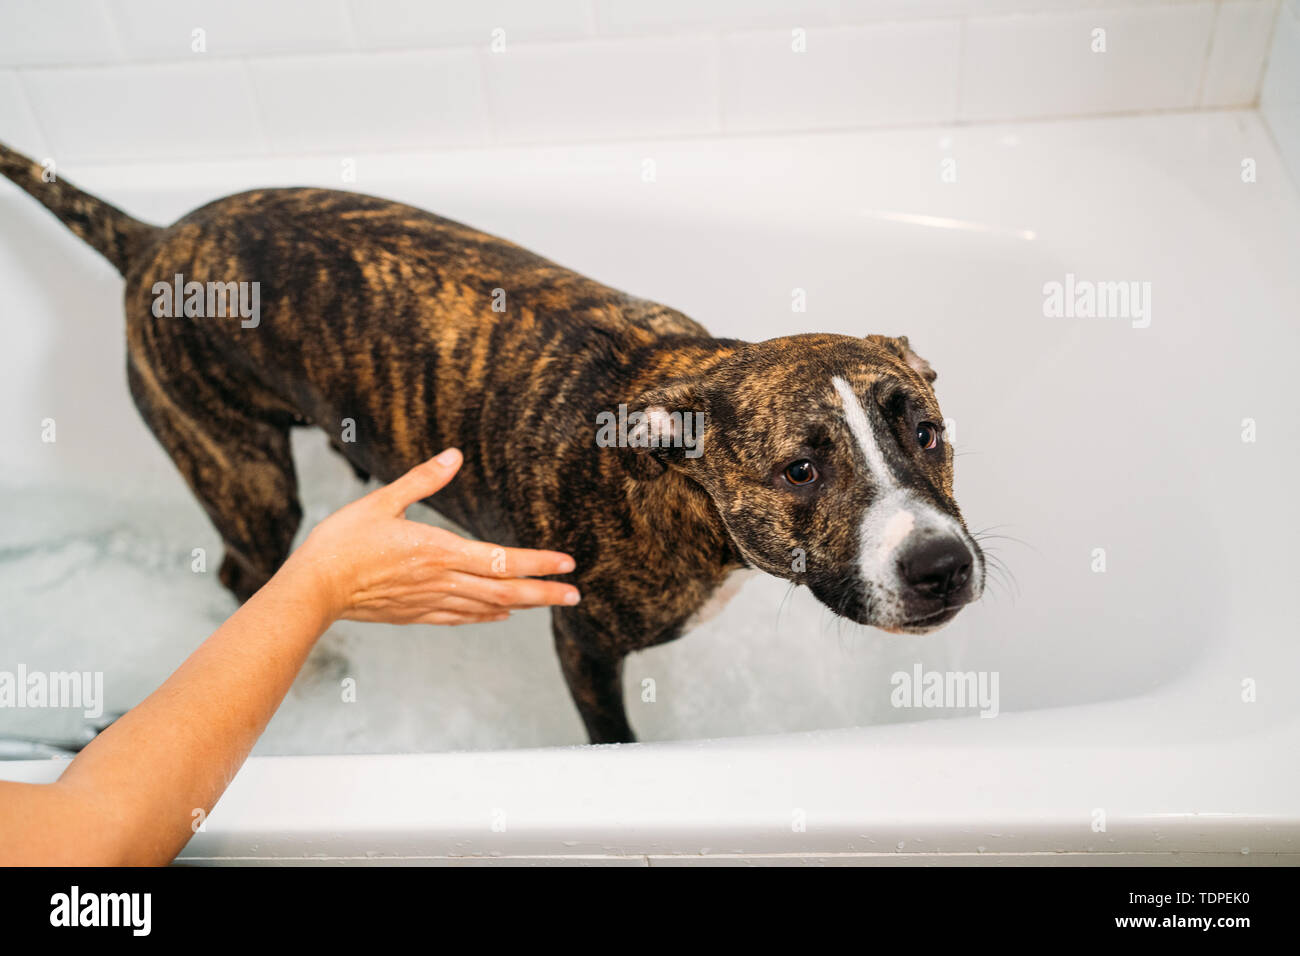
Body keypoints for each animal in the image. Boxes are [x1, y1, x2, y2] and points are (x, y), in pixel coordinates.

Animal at [0, 141, 977, 743]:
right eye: (800, 470)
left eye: (929, 433)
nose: (941, 566)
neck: (675, 486)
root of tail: (153, 239)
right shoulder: (584, 644)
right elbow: (611, 733)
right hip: (241, 473)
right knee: (244, 575)